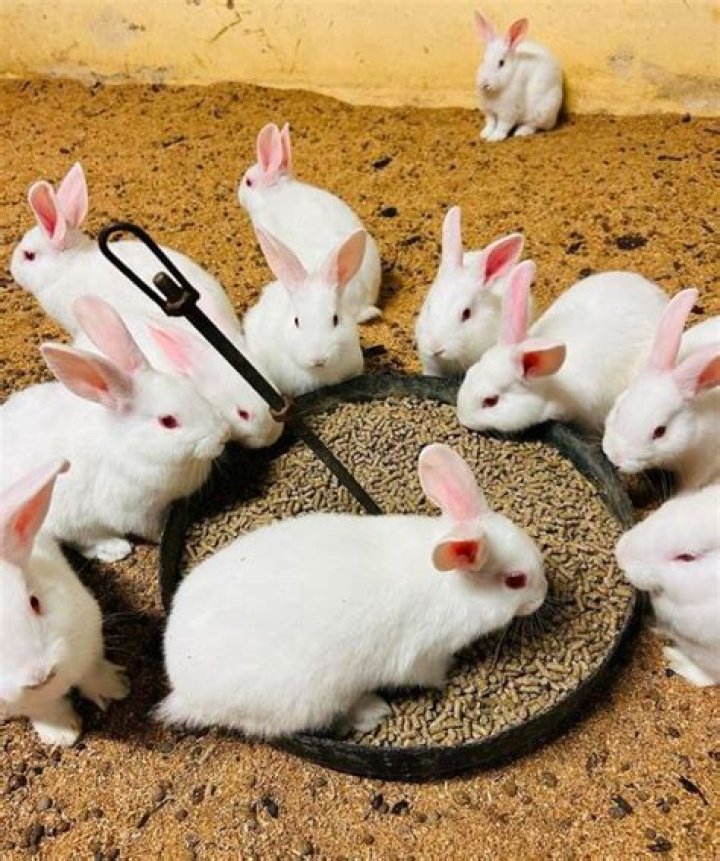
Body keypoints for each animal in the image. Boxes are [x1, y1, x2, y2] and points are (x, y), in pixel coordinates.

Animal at [0, 297, 230, 562]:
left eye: (190, 388)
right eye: (168, 421)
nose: (223, 434)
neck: (129, 443)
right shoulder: (137, 511)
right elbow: (150, 529)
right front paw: (157, 538)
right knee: (85, 541)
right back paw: (115, 549)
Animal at [0, 460, 129, 745]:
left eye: (35, 602)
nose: (40, 675)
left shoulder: (90, 630)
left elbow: (93, 671)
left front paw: (117, 687)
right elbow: (44, 709)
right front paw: (63, 734)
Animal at [157, 443, 546, 738]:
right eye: (515, 581)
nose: (542, 597)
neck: (452, 585)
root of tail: (184, 687)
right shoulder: (423, 655)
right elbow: (430, 673)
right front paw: (450, 672)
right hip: (313, 699)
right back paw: (373, 711)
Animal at [473, 12, 563, 142]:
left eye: (501, 63)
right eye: (482, 60)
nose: (485, 84)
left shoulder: (508, 112)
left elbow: (502, 126)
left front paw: (494, 138)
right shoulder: (489, 111)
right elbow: (490, 123)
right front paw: (485, 134)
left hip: (543, 111)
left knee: (534, 125)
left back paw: (521, 132)